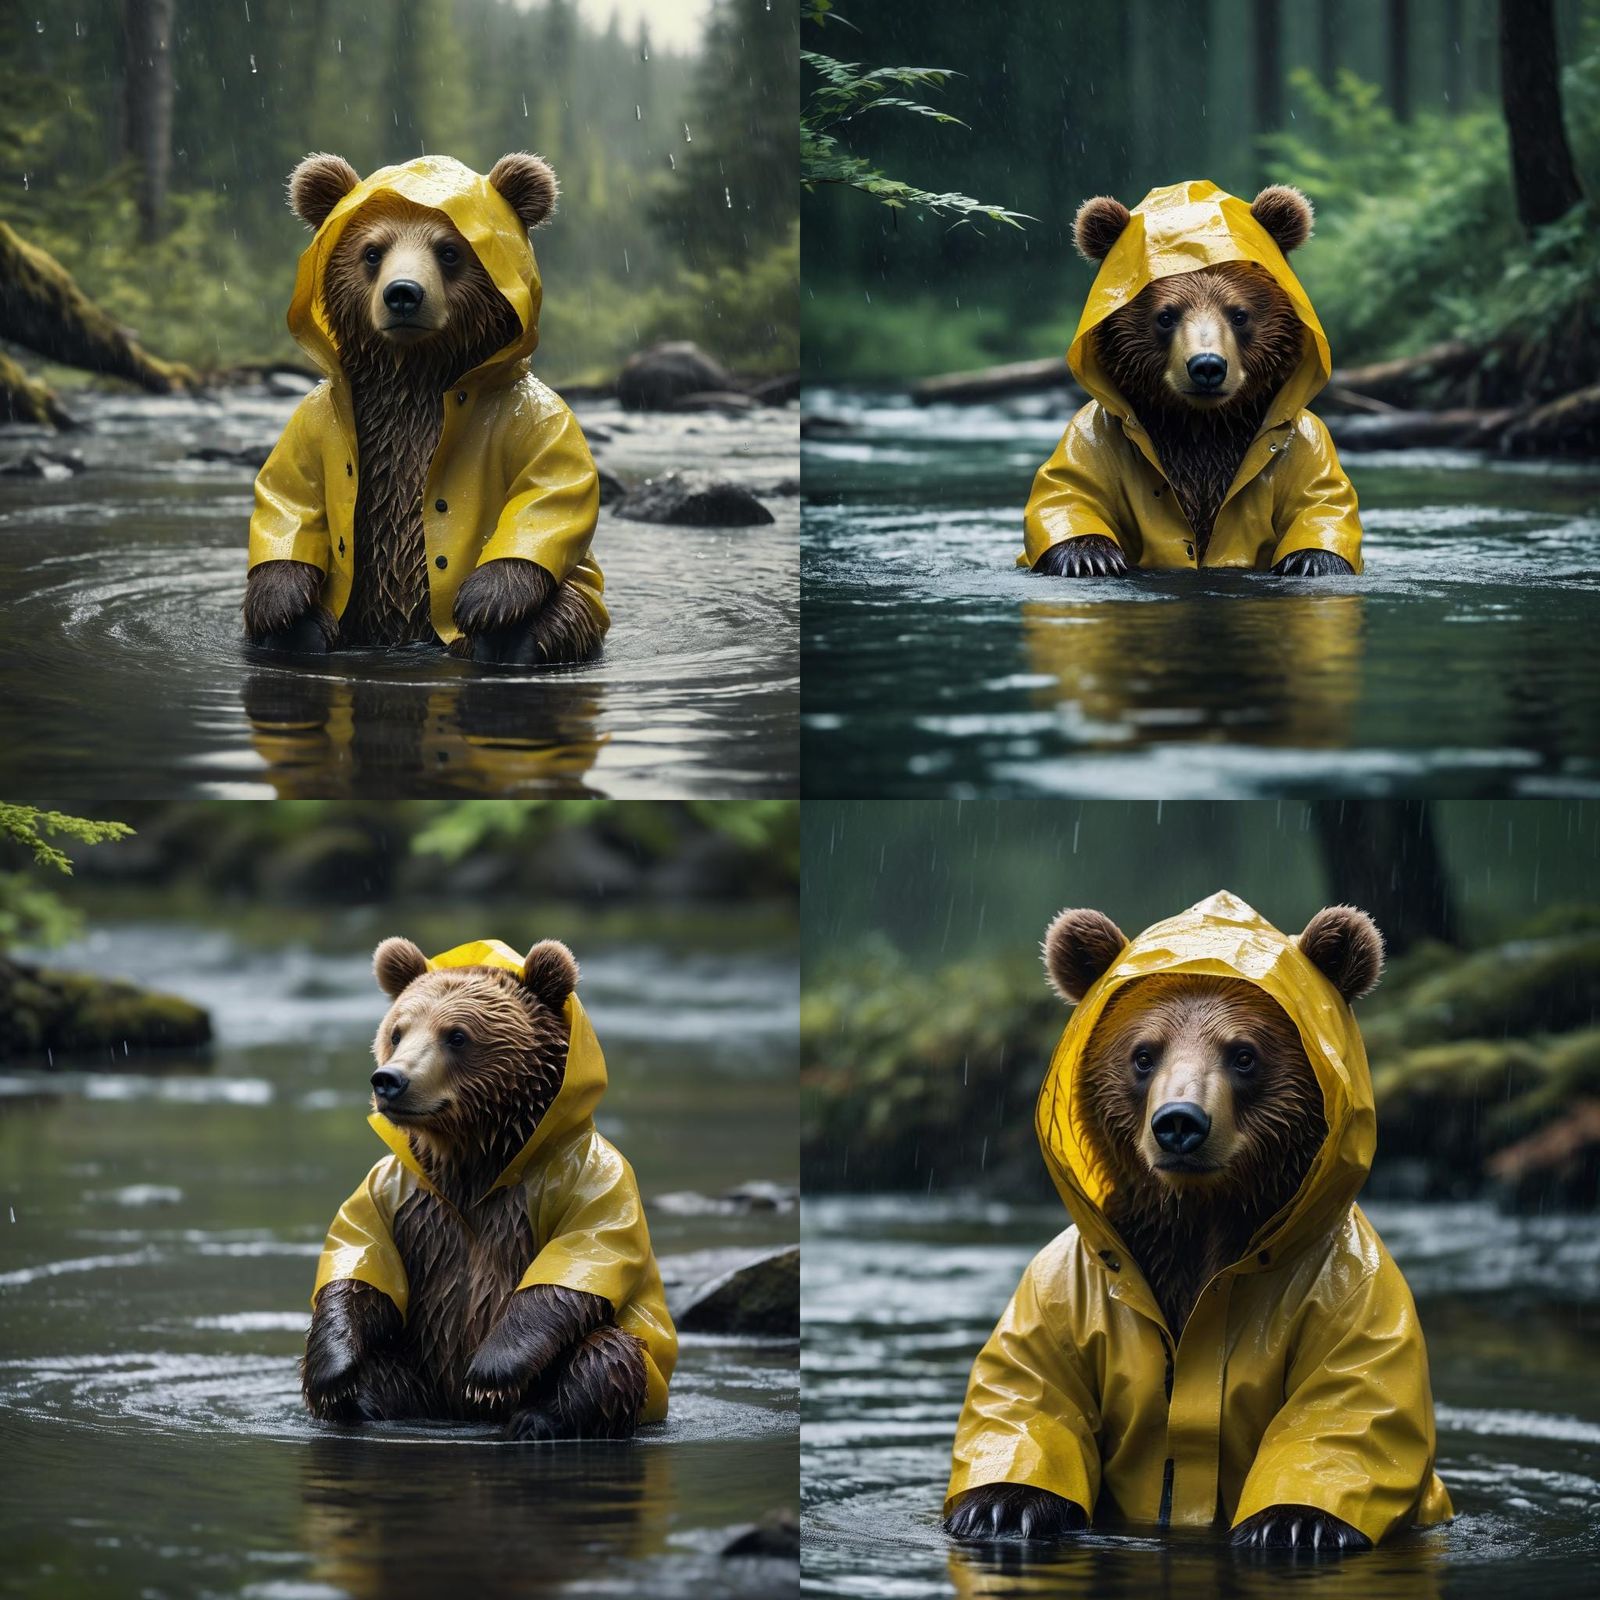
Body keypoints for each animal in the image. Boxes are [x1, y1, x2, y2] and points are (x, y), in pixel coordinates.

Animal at [244, 152, 607, 664]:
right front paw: (282, 600)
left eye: (449, 251)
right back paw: (304, 630)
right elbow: (289, 487)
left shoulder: (528, 412)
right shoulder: (325, 414)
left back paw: (511, 640)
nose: (403, 293)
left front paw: (484, 598)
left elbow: (552, 486)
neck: (415, 374)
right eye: (372, 252)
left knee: (567, 610)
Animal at [302, 936, 676, 1440]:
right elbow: (361, 1264)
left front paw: (489, 1376)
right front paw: (333, 1376)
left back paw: (536, 1418)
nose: (390, 1080)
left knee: (606, 1355)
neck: (475, 1157)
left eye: (457, 1035)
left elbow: (575, 1265)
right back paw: (365, 1406)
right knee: (382, 1369)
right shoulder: (399, 1193)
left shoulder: (589, 1181)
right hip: (418, 1370)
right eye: (397, 1032)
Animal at [944, 891, 1451, 1552]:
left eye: (1244, 1054)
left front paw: (1296, 1522)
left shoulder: (1350, 1296)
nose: (1180, 1122)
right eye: (1143, 1053)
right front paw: (1001, 1506)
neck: (1202, 1219)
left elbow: (1347, 1406)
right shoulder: (1064, 1292)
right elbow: (1031, 1390)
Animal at [1022, 180, 1363, 580]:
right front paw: (1090, 557)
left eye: (1239, 314)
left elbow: (1322, 502)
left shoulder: (1302, 444)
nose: (1207, 366)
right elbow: (1069, 493)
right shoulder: (1098, 436)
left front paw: (1311, 559)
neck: (1201, 423)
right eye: (1166, 316)